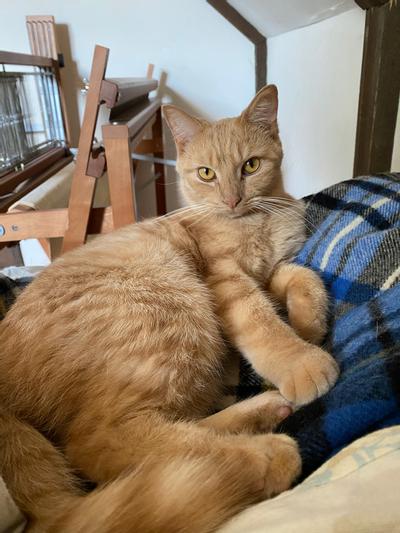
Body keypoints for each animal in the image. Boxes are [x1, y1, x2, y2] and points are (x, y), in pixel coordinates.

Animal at [0, 85, 338, 528]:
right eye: (206, 174)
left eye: (250, 166)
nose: (232, 199)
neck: (251, 223)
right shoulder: (227, 281)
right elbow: (261, 321)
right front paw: (300, 359)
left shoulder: (269, 272)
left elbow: (302, 276)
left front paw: (308, 323)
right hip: (169, 305)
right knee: (101, 443)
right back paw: (264, 454)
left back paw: (262, 410)